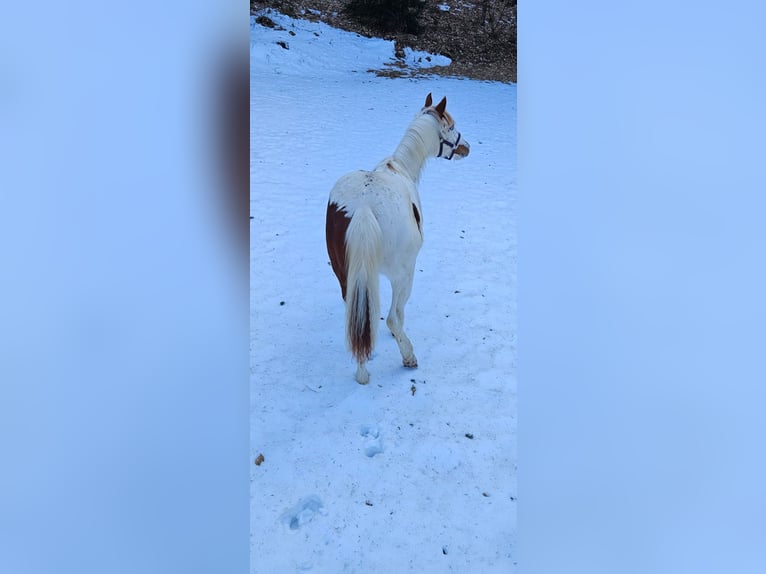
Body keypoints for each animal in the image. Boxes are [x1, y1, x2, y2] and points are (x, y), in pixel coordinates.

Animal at [325, 94, 470, 384]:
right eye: (451, 126)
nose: (466, 148)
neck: (399, 168)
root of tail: (364, 207)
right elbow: (397, 317)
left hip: (346, 273)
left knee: (357, 315)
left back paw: (363, 370)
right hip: (402, 274)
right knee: (391, 316)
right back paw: (407, 356)